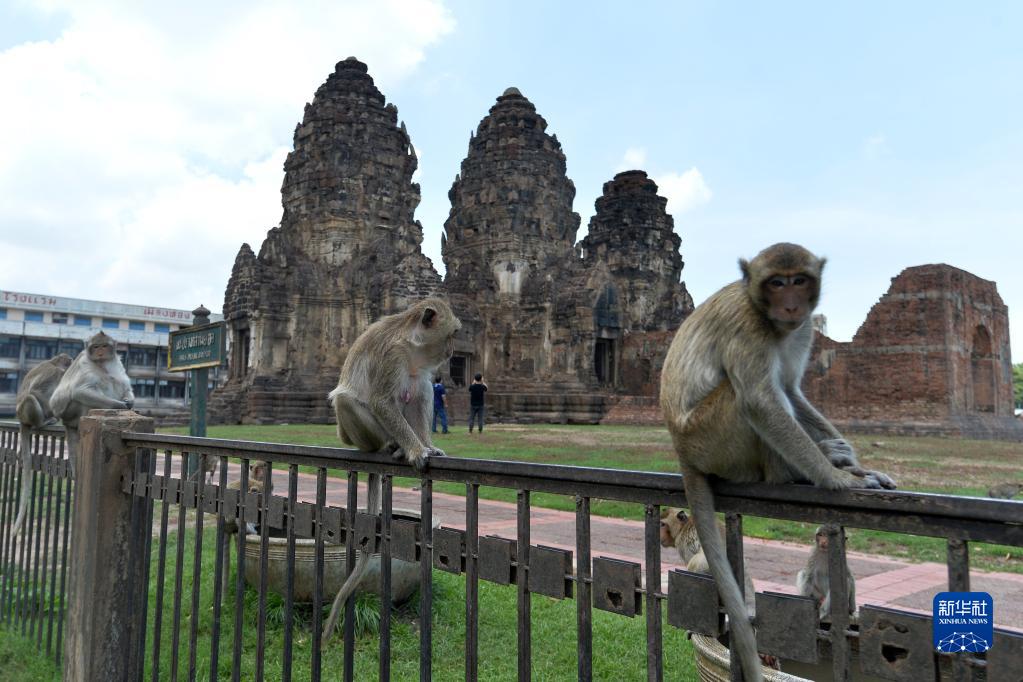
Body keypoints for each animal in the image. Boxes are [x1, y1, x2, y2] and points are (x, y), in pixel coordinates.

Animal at [11, 354, 73, 537]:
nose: (71, 366)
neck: (54, 363)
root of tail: (20, 418)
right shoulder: (54, 373)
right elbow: (37, 391)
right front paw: (55, 414)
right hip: (25, 412)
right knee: (30, 398)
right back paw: (43, 421)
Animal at [50, 331, 134, 476]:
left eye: (104, 346)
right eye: (95, 347)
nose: (100, 352)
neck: (103, 364)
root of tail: (66, 422)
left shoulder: (117, 364)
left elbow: (126, 387)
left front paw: (129, 401)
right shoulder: (84, 363)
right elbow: (80, 391)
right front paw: (120, 405)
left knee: (115, 379)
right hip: (70, 412)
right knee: (93, 386)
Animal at [321, 297, 461, 640]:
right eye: (451, 334)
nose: (452, 352)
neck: (411, 344)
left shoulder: (420, 366)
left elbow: (422, 393)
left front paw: (427, 446)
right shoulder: (392, 355)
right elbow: (382, 401)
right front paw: (415, 450)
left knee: (419, 390)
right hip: (353, 433)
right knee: (347, 400)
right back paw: (390, 446)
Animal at [660, 243, 895, 682]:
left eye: (799, 280)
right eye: (776, 282)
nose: (790, 304)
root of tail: (680, 447)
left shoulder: (802, 330)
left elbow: (790, 388)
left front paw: (854, 466)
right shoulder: (747, 328)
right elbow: (762, 400)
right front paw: (837, 479)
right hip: (711, 438)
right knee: (746, 396)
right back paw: (791, 474)